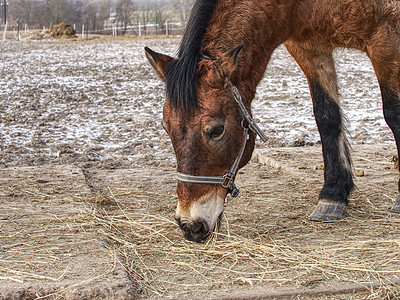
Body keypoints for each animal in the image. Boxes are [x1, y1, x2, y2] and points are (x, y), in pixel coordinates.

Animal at [145, 0, 400, 241]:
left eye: (217, 130)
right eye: (166, 128)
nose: (190, 225)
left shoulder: (386, 40)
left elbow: (393, 114)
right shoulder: (309, 48)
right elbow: (327, 116)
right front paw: (333, 195)